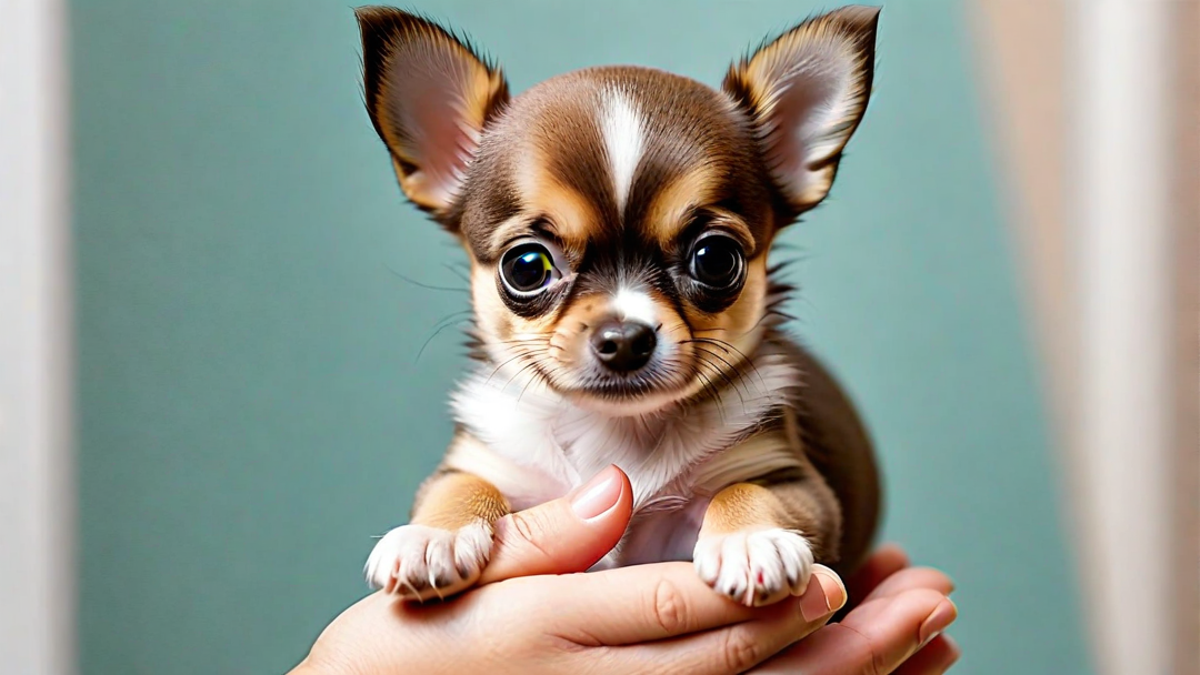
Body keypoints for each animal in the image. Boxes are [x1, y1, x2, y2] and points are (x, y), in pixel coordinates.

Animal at [355, 3, 883, 605]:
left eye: (715, 259)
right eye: (525, 266)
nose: (626, 338)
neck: (613, 431)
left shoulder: (794, 481)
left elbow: (749, 490)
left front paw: (752, 540)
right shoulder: (485, 459)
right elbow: (459, 484)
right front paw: (429, 536)